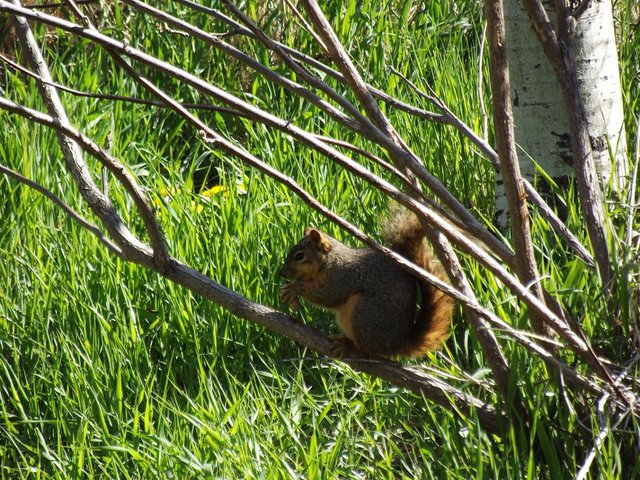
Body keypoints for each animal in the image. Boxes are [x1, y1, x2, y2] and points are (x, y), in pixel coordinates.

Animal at [278, 208, 452, 358]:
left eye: (300, 256)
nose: (282, 273)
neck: (329, 262)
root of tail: (397, 345)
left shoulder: (342, 277)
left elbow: (328, 296)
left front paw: (294, 288)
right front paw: (289, 289)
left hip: (365, 312)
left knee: (366, 351)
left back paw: (349, 347)